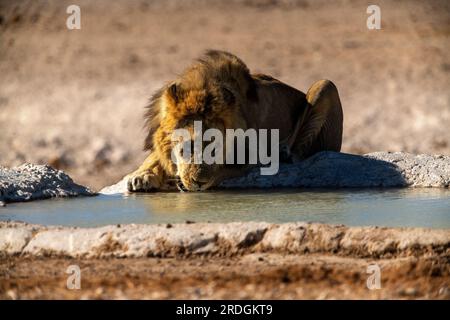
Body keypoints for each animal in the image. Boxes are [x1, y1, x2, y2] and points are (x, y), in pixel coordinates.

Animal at [125, 48, 342, 191]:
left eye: (215, 150)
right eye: (186, 148)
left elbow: (222, 170)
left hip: (326, 85)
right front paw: (142, 175)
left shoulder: (250, 156)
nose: (199, 182)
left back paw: (284, 152)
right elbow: (155, 155)